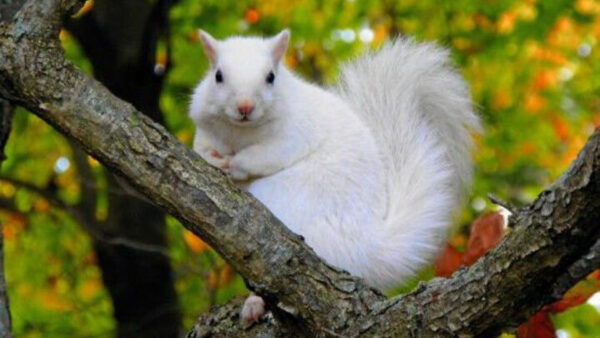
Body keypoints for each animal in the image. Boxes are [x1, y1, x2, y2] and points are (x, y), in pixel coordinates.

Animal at [190, 29, 480, 322]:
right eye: (218, 76)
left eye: (271, 77)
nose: (245, 107)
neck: (240, 133)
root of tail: (366, 248)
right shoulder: (205, 127)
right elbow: (201, 147)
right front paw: (212, 158)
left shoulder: (295, 134)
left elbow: (264, 156)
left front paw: (234, 164)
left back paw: (256, 303)